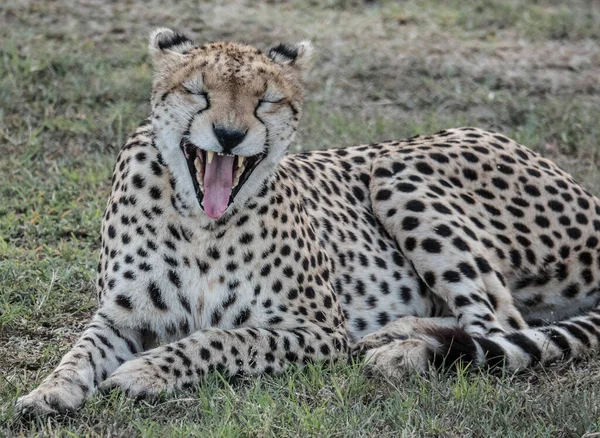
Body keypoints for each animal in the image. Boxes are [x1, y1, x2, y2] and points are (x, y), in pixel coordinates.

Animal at [15, 28, 600, 414]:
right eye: (198, 92)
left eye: (266, 100)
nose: (229, 135)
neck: (203, 224)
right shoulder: (121, 316)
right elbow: (80, 351)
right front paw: (49, 390)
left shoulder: (321, 329)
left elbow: (225, 338)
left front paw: (149, 369)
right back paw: (394, 335)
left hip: (396, 170)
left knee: (499, 327)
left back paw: (401, 351)